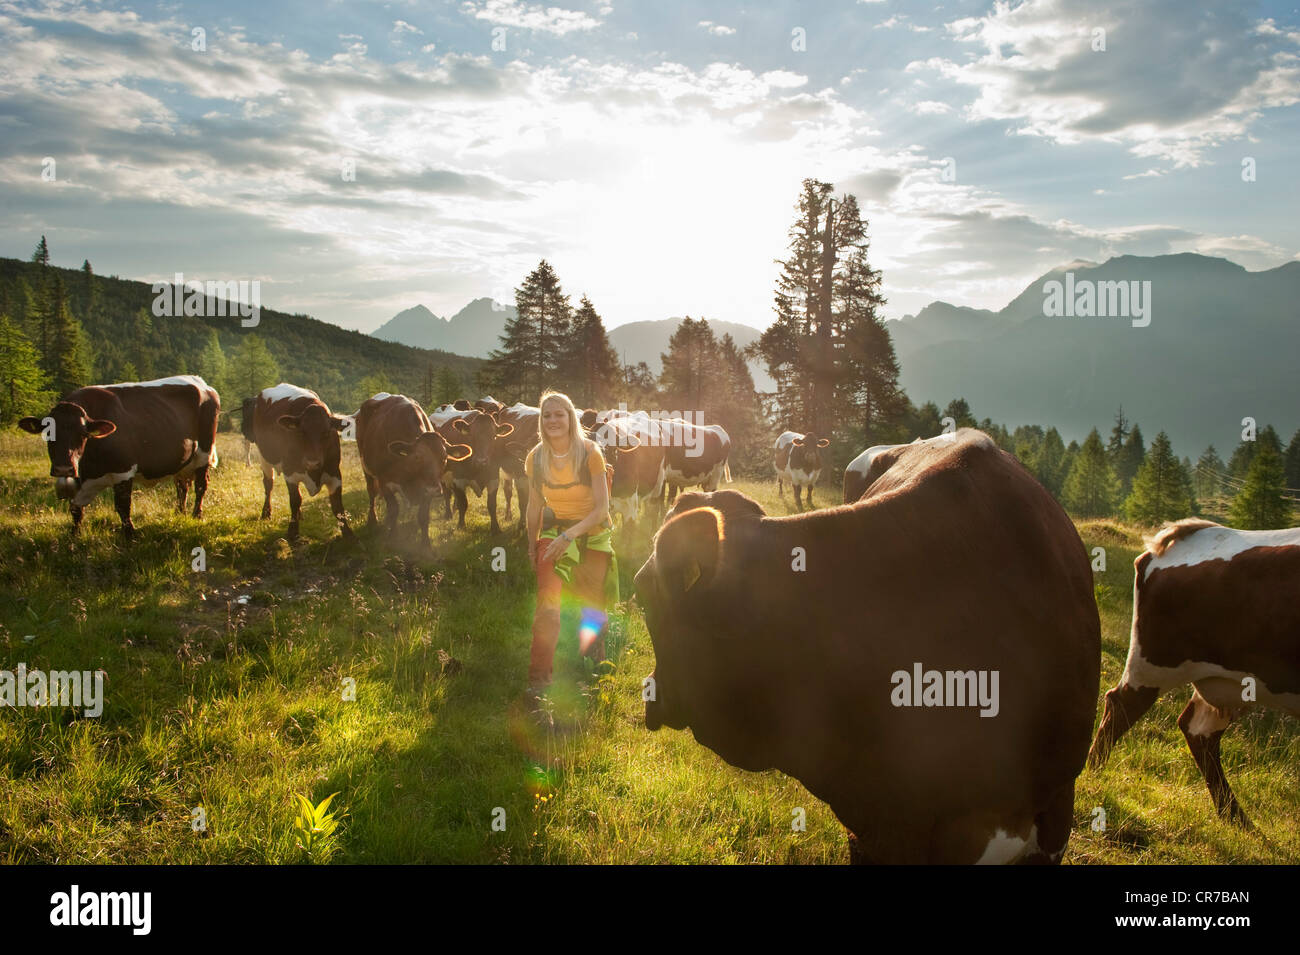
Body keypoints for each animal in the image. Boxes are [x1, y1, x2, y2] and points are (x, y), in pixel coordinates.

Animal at [18, 375, 220, 540]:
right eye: (47, 433)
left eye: (83, 434)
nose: (63, 468)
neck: (88, 469)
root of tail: (202, 383)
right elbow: (75, 509)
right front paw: (74, 535)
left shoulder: (123, 470)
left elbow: (123, 506)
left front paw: (130, 535)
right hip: (182, 460)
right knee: (182, 486)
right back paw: (179, 513)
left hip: (204, 453)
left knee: (200, 486)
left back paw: (196, 515)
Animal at [246, 383, 352, 540]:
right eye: (301, 432)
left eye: (327, 433)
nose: (312, 462)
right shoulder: (290, 472)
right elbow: (295, 500)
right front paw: (292, 532)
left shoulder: (334, 473)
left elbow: (338, 506)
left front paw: (349, 535)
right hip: (263, 456)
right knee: (268, 484)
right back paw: (266, 512)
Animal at [354, 393, 470, 543]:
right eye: (417, 457)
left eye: (444, 458)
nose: (434, 489)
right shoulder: (384, 481)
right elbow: (394, 509)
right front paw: (392, 536)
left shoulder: (427, 487)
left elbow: (423, 516)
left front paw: (425, 543)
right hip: (366, 468)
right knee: (371, 492)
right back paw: (372, 520)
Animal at [1087, 519, 1300, 827]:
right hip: (1156, 663)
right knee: (1121, 705)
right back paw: (1094, 773)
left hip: (1230, 683)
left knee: (1197, 731)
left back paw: (1238, 820)